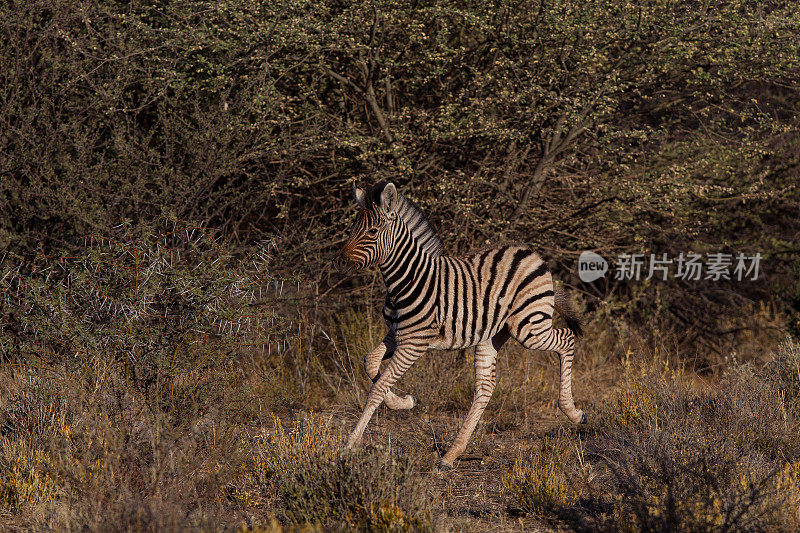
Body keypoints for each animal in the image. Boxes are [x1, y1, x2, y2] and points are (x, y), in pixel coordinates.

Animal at [338, 180, 588, 470]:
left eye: (372, 231)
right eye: (353, 228)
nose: (339, 262)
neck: (408, 280)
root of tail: (532, 254)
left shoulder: (414, 342)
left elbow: (377, 388)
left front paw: (349, 445)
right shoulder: (396, 333)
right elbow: (370, 362)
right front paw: (404, 401)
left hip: (528, 327)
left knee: (567, 339)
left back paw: (573, 412)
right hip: (492, 334)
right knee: (485, 387)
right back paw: (451, 454)